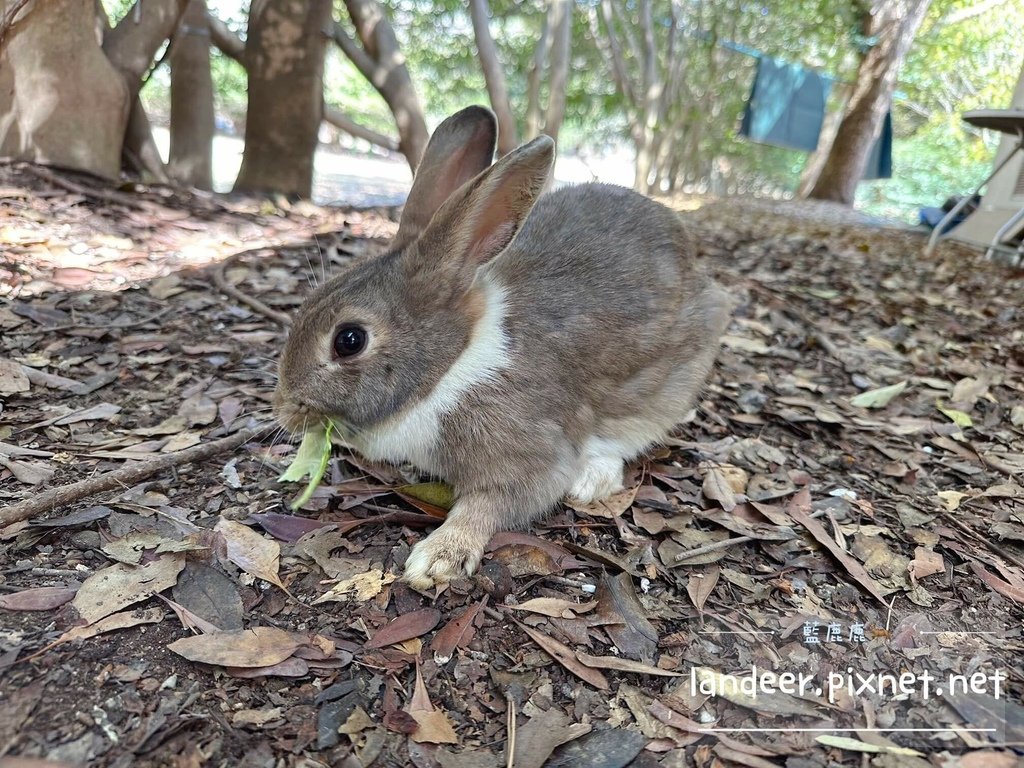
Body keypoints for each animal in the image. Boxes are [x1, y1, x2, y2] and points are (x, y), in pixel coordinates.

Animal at [276, 107, 733, 589]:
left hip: (669, 385)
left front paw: (438, 558)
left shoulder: (529, 454)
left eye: (349, 340)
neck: (449, 366)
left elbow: (492, 504)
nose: (284, 410)